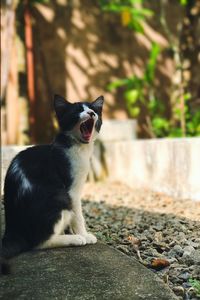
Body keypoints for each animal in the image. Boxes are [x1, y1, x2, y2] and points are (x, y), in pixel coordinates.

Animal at [1, 94, 104, 262]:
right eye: (77, 110)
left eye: (93, 109)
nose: (91, 113)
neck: (76, 146)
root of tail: (14, 229)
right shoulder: (72, 191)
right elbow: (78, 215)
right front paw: (83, 234)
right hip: (59, 197)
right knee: (39, 242)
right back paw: (73, 239)